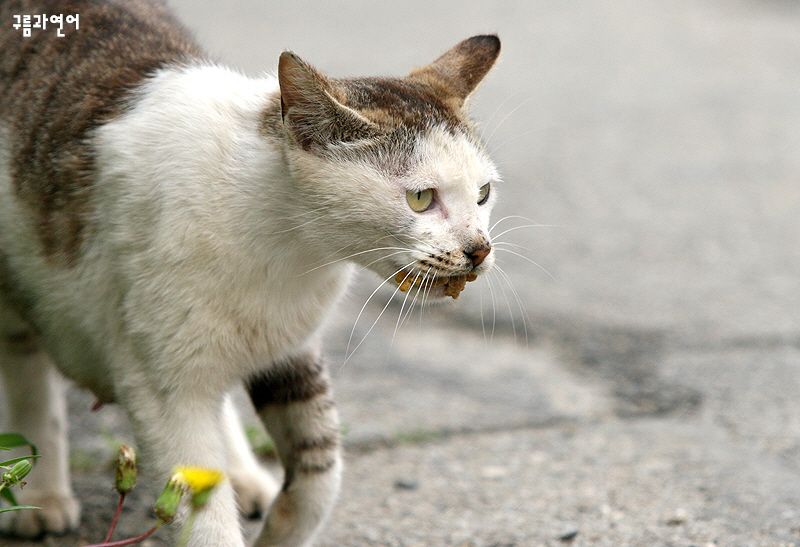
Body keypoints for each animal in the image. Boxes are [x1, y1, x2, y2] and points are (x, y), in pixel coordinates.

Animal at [0, 1, 500, 547]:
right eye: (421, 198)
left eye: (483, 194)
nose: (479, 250)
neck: (289, 250)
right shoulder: (163, 384)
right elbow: (202, 517)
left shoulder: (290, 349)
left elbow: (320, 472)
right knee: (27, 367)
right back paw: (41, 493)